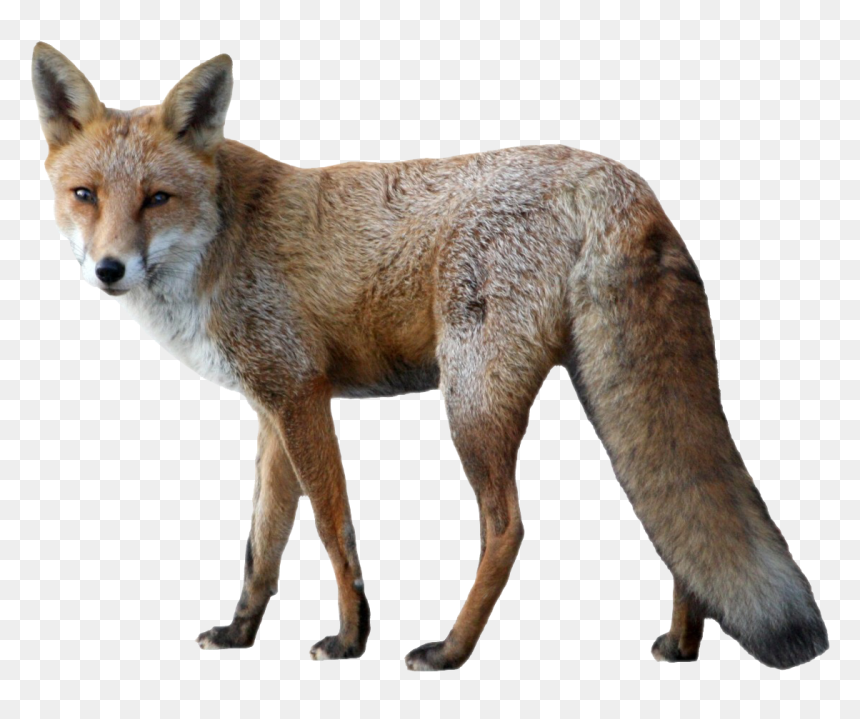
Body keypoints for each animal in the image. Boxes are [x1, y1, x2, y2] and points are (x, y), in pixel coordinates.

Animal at [32, 41, 829, 671]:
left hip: (472, 402)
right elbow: (263, 543)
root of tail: (616, 180)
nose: (109, 269)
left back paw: (451, 649)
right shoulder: (272, 408)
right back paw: (682, 643)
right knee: (671, 519)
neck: (222, 242)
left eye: (157, 198)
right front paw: (240, 633)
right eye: (85, 195)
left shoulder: (300, 395)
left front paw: (351, 637)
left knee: (508, 529)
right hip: (606, 397)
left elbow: (332, 528)